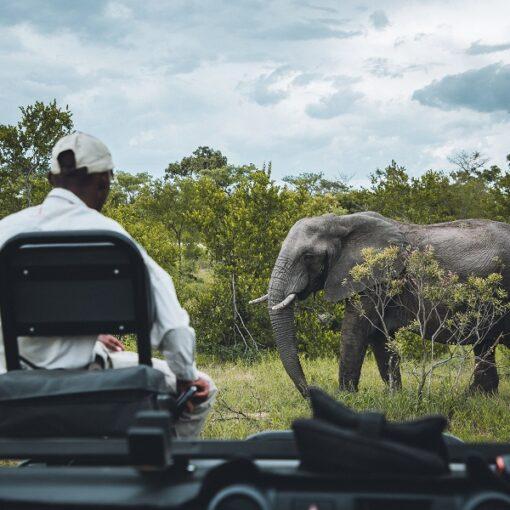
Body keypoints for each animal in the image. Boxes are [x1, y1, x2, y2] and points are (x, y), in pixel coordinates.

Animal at [251, 213, 510, 396]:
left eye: (308, 257)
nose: (309, 392)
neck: (340, 221)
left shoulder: (378, 279)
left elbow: (355, 331)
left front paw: (344, 398)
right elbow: (378, 336)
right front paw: (395, 396)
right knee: (485, 343)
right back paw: (478, 396)